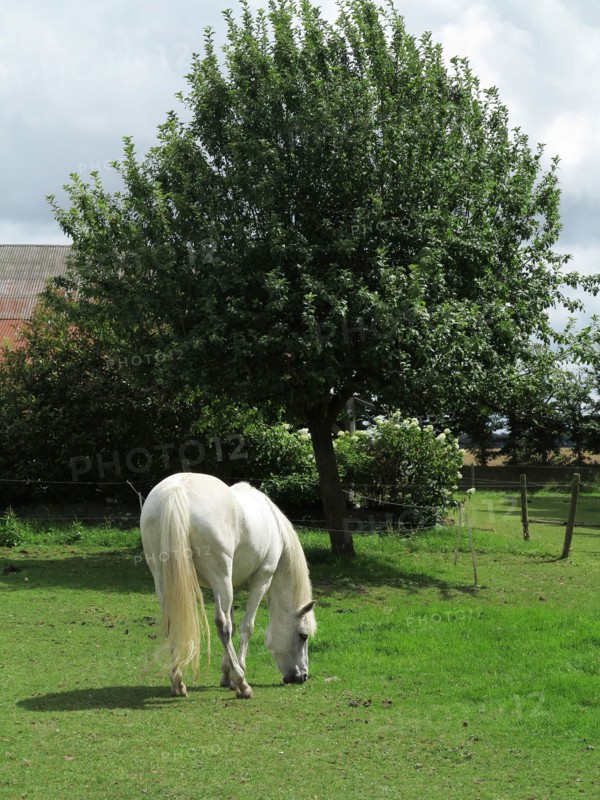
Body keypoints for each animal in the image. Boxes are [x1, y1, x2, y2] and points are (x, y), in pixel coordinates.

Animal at [140, 472, 316, 699]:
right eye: (303, 636)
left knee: (174, 623)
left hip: (165, 579)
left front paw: (226, 674)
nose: (302, 676)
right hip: (220, 578)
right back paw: (242, 685)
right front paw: (236, 674)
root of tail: (176, 490)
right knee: (222, 625)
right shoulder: (261, 581)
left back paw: (178, 682)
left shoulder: (231, 584)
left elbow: (233, 625)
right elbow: (245, 627)